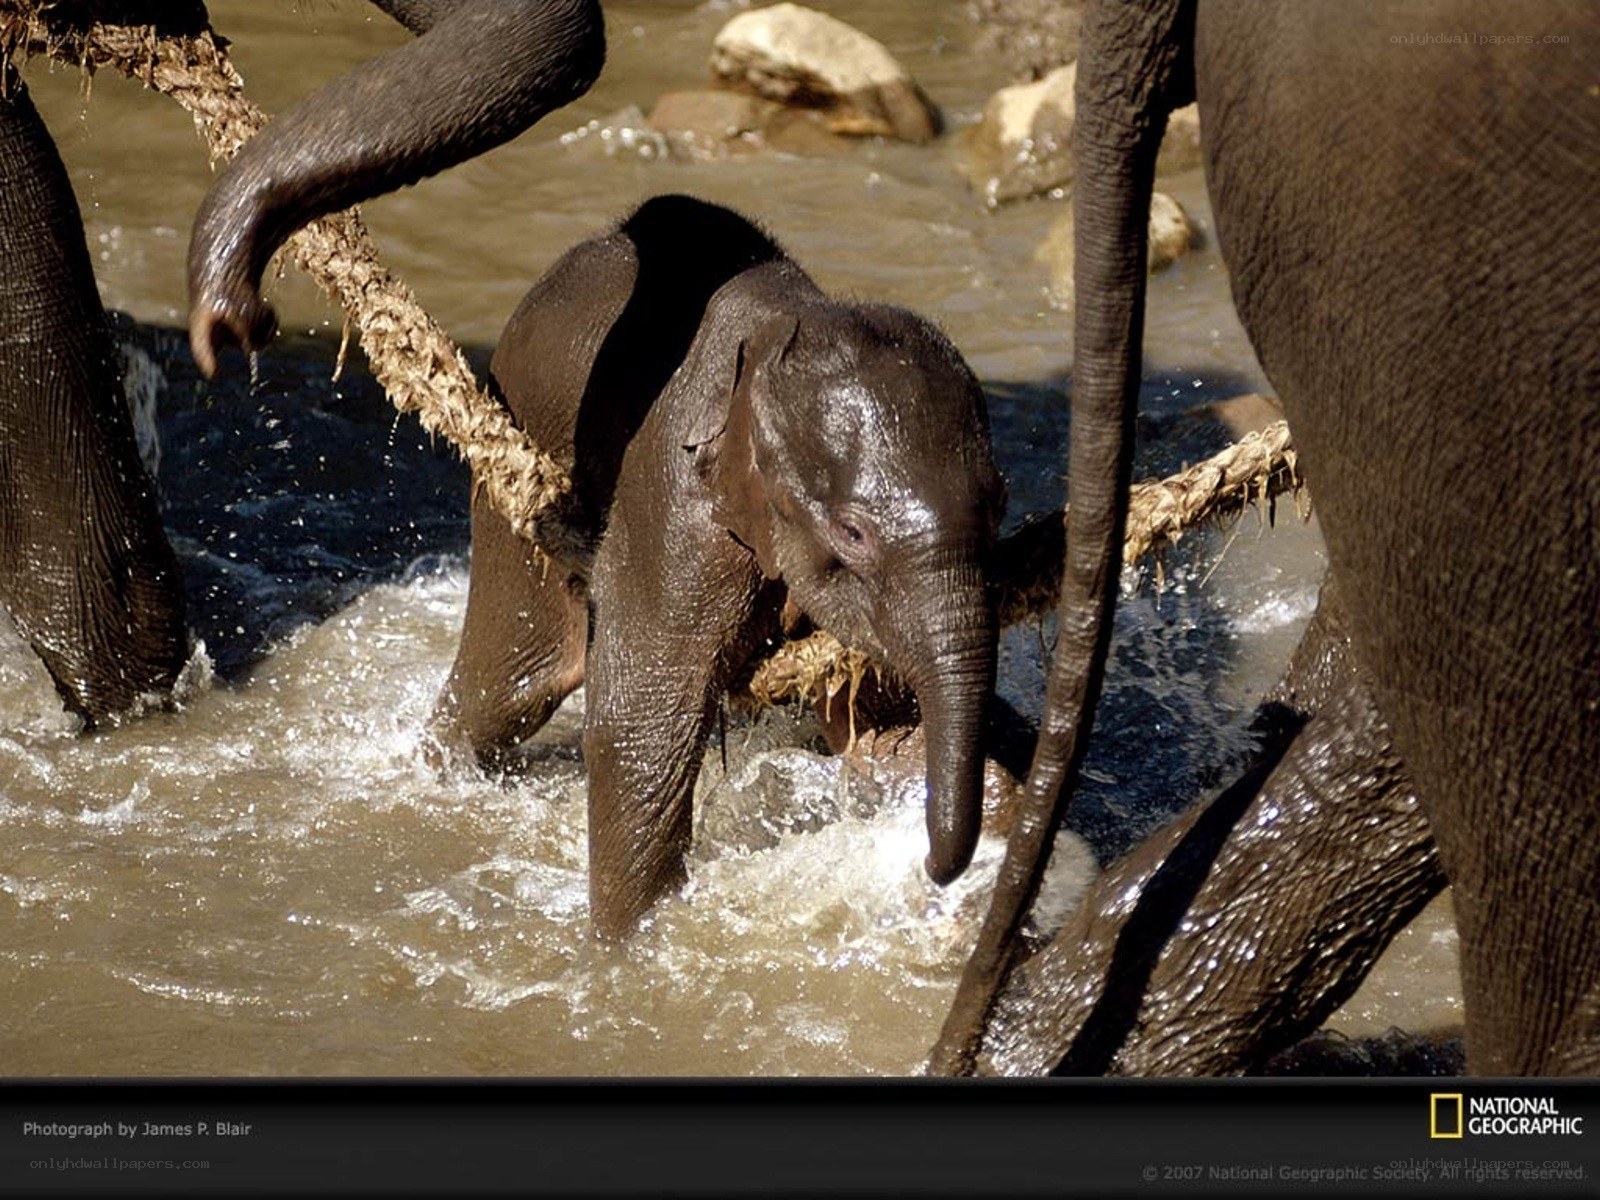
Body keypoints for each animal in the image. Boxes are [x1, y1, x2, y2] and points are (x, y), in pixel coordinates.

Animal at [427, 194, 1007, 940]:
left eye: (1002, 504)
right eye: (852, 533)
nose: (934, 867)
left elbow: (875, 726)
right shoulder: (675, 506)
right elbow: (637, 731)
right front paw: (629, 946)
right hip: (517, 440)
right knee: (505, 690)